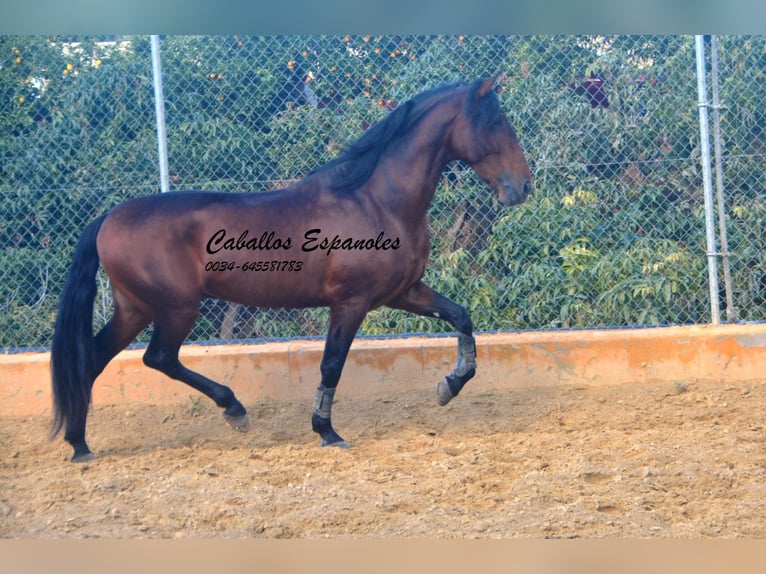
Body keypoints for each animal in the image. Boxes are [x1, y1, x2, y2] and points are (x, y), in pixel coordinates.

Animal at [49, 76, 536, 464]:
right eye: (496, 122)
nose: (523, 186)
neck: (375, 199)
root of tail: (108, 219)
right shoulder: (351, 302)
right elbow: (332, 365)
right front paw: (327, 431)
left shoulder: (404, 291)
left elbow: (461, 318)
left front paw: (449, 386)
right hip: (175, 308)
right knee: (158, 358)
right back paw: (233, 409)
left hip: (135, 309)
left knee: (92, 360)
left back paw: (80, 444)